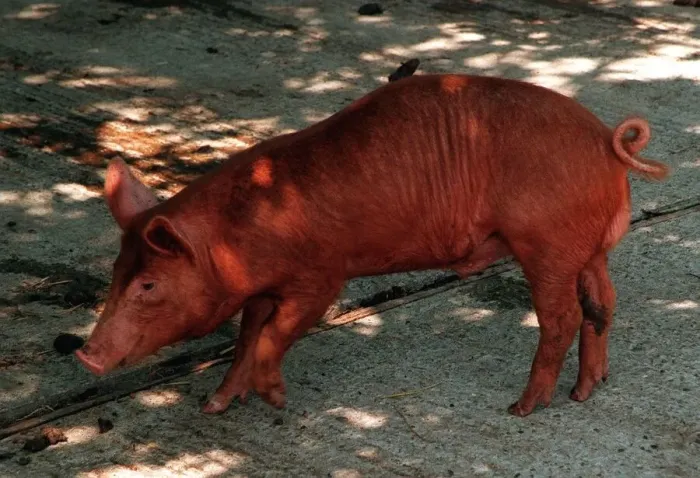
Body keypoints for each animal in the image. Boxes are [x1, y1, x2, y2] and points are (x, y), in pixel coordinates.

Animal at [75, 74, 670, 417]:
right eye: (116, 272)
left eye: (148, 283)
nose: (85, 354)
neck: (235, 237)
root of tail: (606, 141)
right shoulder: (262, 289)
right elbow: (246, 337)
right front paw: (214, 406)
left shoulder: (321, 276)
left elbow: (274, 336)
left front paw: (276, 400)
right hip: (586, 249)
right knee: (602, 303)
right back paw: (585, 392)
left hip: (545, 242)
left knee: (563, 315)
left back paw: (523, 409)